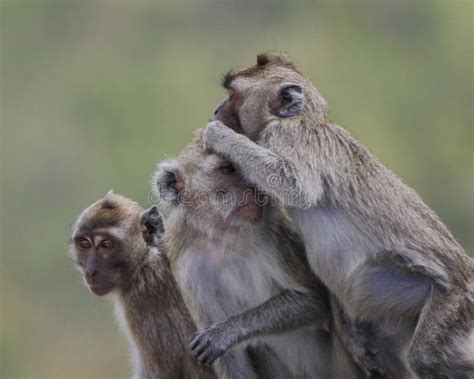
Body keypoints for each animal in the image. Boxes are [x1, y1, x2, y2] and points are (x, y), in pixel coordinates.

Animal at [150, 133, 364, 379]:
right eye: (228, 168)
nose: (254, 187)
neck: (222, 236)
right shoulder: (186, 264)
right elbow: (231, 361)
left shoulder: (274, 237)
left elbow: (315, 300)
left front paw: (227, 332)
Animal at [201, 54, 474, 379]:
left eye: (233, 95)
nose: (216, 110)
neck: (298, 118)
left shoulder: (289, 134)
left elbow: (295, 186)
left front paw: (219, 136)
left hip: (455, 302)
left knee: (427, 356)